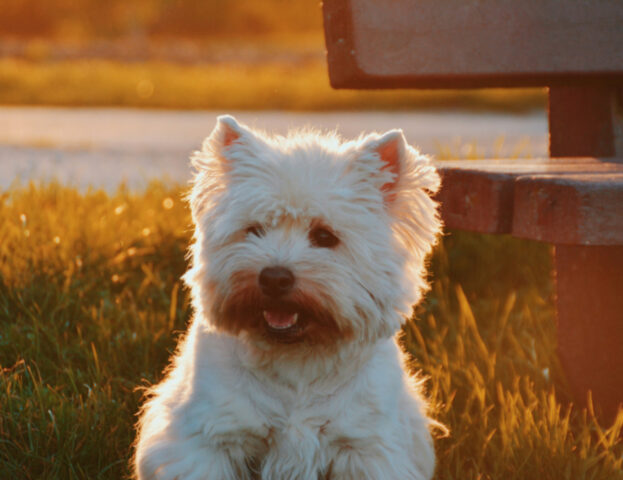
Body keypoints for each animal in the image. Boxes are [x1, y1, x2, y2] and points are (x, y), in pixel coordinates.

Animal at [133, 116, 444, 480]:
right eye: (254, 230)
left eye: (324, 236)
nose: (274, 278)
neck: (297, 361)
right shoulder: (209, 439)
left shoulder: (366, 447)